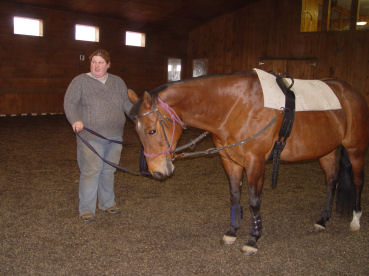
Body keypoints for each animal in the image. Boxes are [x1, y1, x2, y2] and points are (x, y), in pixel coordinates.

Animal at [127, 70, 368, 256]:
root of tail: (351, 92)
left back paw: (356, 219)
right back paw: (322, 219)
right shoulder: (229, 160)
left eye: (151, 130)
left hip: (355, 149)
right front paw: (232, 232)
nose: (157, 172)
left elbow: (254, 201)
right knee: (332, 181)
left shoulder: (255, 162)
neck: (236, 106)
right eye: (138, 133)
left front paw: (253, 239)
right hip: (327, 150)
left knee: (357, 181)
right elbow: (235, 195)